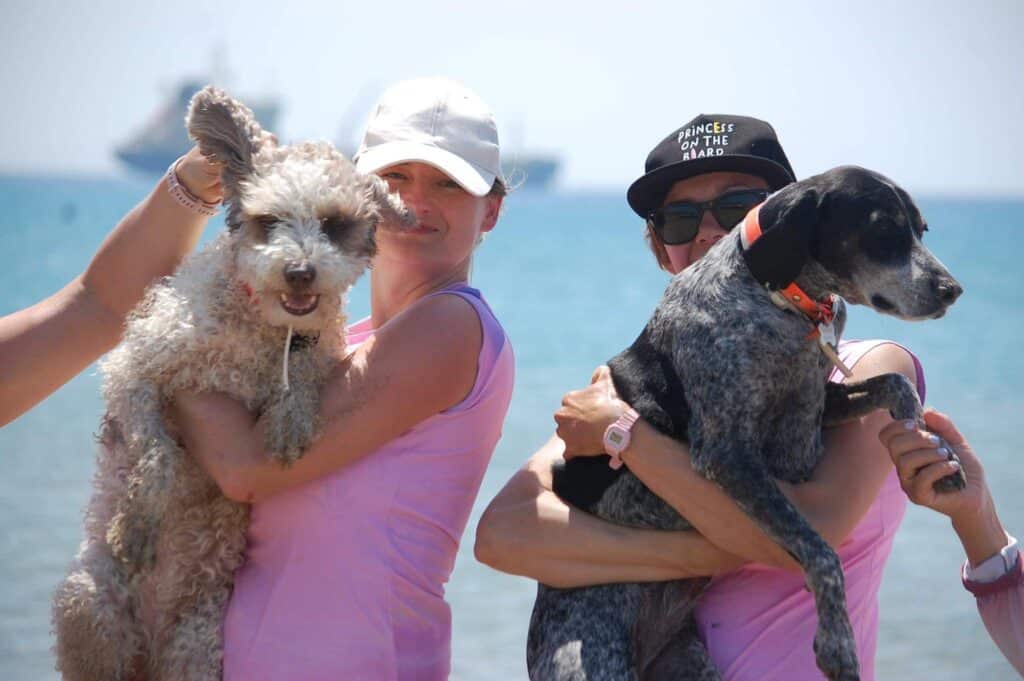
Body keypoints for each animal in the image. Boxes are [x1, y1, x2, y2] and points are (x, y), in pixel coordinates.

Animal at [51, 86, 411, 679]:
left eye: (334, 223)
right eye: (270, 220)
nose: (300, 272)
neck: (261, 324)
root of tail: (150, 646)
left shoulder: (313, 354)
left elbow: (303, 381)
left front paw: (289, 419)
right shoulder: (136, 369)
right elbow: (156, 454)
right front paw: (137, 524)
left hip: (198, 643)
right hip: (89, 605)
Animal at [528, 164, 966, 679]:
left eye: (921, 229)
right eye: (882, 230)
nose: (952, 290)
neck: (776, 297)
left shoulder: (815, 408)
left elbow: (895, 385)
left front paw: (937, 454)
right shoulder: (729, 454)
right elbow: (820, 550)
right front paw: (837, 643)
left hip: (691, 662)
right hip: (592, 658)